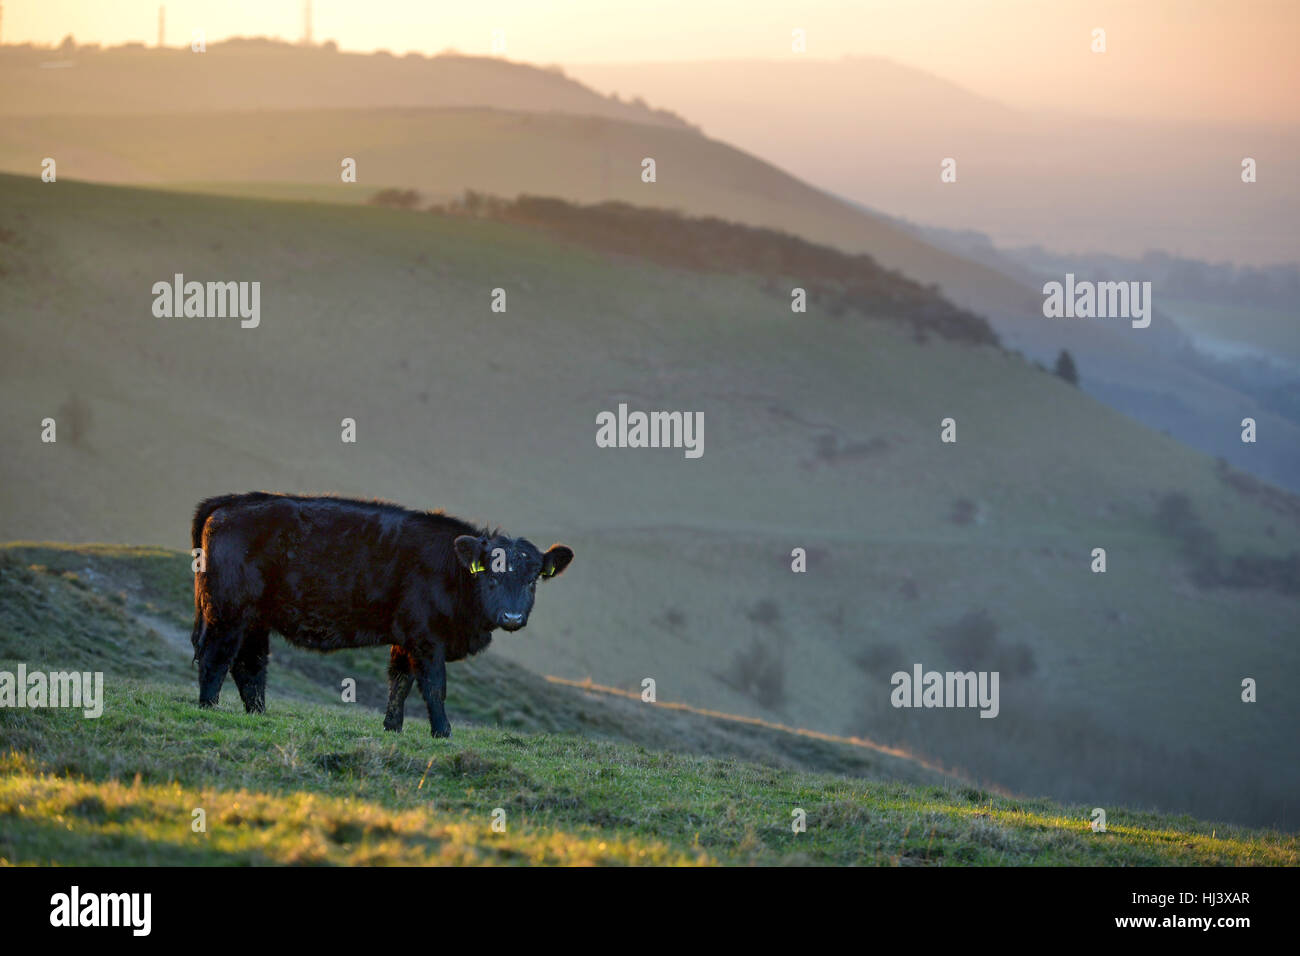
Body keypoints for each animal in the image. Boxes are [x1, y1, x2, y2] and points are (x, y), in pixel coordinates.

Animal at [185, 494, 572, 738]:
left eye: (533, 578)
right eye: (491, 575)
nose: (512, 616)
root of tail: (229, 502)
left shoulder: (406, 639)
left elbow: (399, 683)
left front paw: (392, 727)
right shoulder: (427, 639)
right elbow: (434, 686)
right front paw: (442, 732)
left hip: (254, 619)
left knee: (249, 664)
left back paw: (258, 713)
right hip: (228, 613)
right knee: (216, 657)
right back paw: (208, 707)